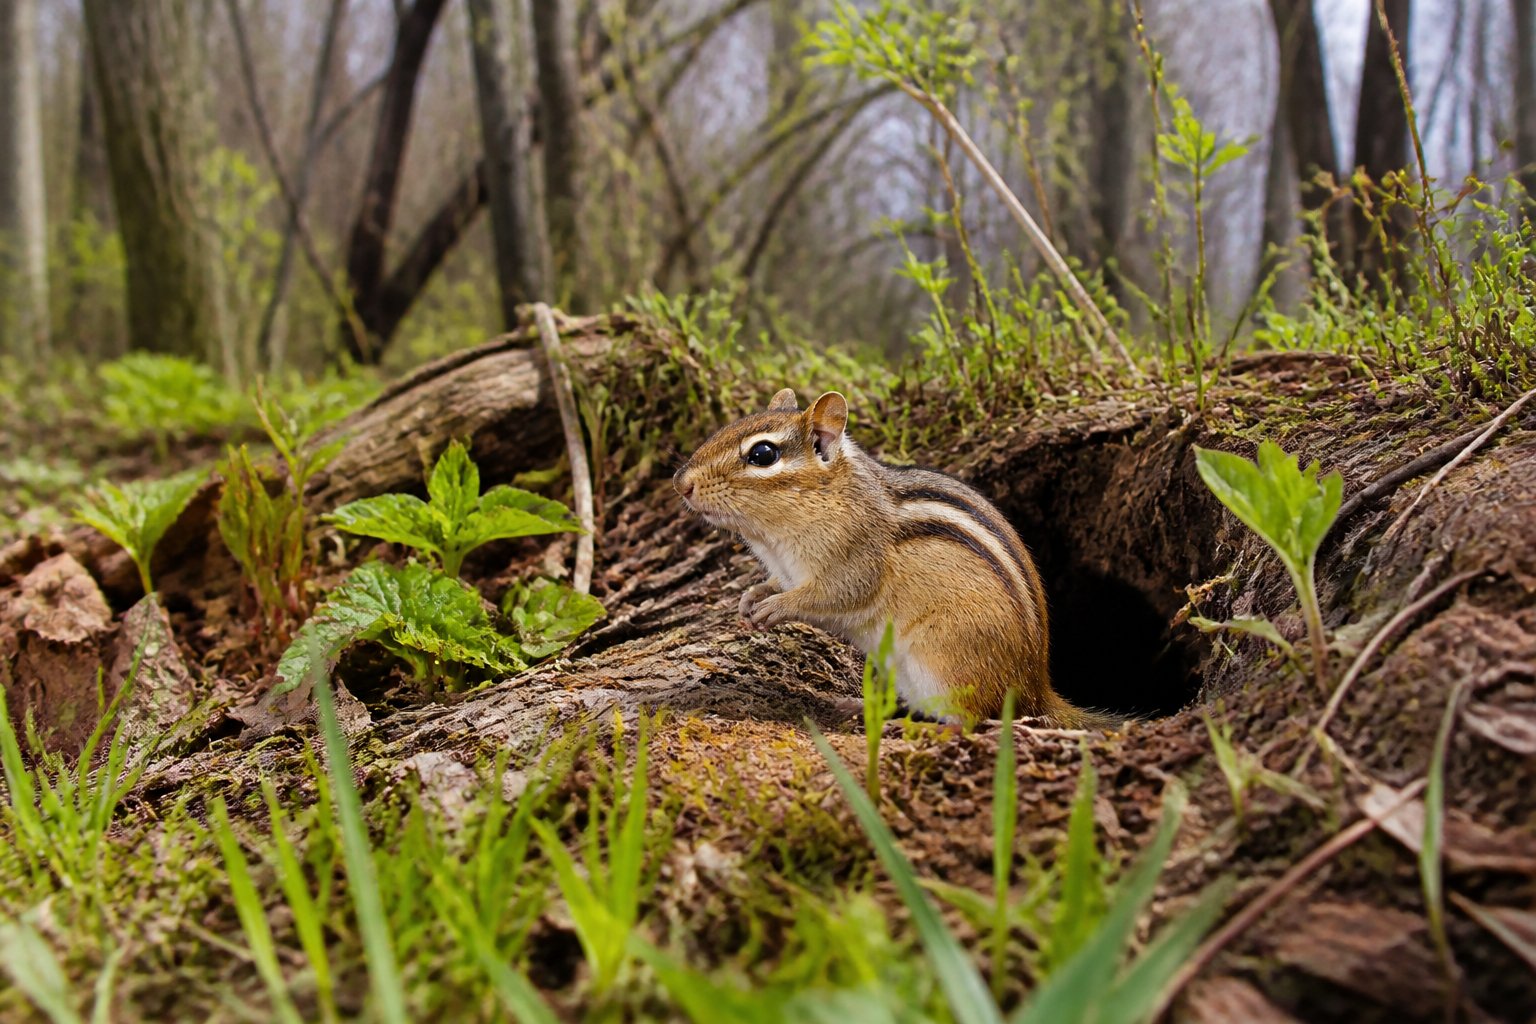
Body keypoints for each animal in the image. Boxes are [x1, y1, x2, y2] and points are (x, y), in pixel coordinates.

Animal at [674, 387, 1117, 730]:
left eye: (763, 454)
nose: (681, 483)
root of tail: (1035, 688)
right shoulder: (785, 569)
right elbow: (774, 583)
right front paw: (750, 597)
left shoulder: (855, 560)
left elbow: (831, 595)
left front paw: (776, 607)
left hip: (943, 659)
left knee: (971, 720)